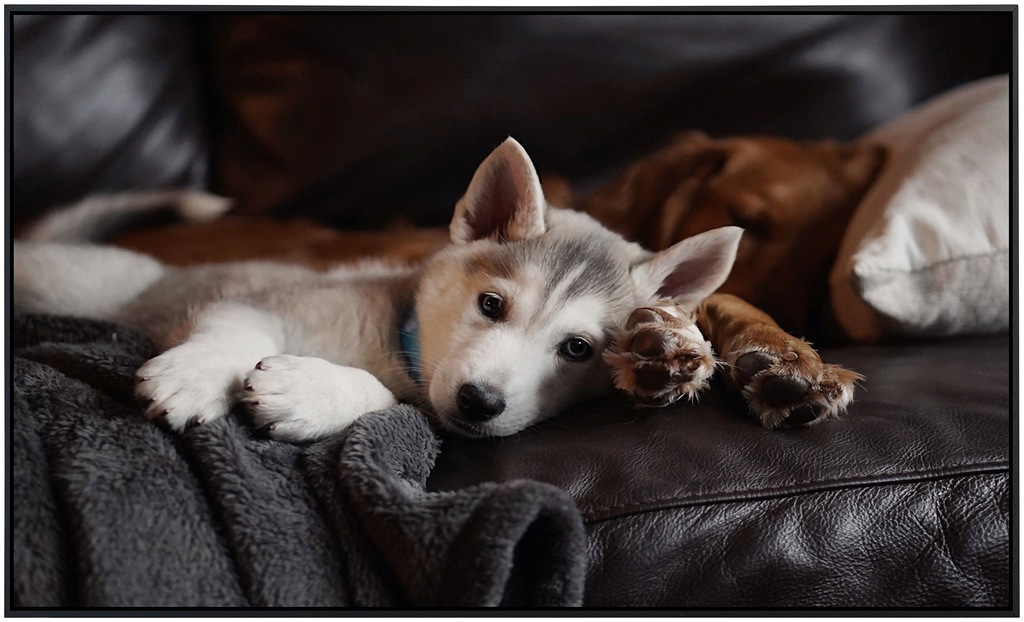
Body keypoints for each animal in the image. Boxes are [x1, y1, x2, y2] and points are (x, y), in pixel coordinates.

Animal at [12, 140, 741, 442]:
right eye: (492, 305)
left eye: (579, 349)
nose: (479, 402)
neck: (396, 340)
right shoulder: (260, 296)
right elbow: (237, 328)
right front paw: (195, 375)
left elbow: (390, 401)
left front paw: (310, 391)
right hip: (71, 279)